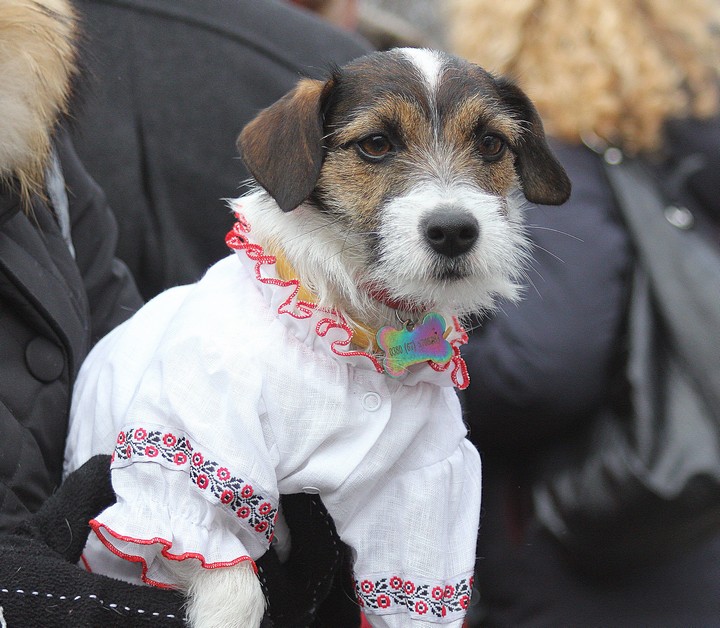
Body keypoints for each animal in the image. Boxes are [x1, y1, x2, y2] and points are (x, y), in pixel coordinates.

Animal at [64, 49, 572, 628]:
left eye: (491, 143)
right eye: (376, 143)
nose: (454, 231)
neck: (360, 336)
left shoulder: (418, 494)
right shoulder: (195, 452)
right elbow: (231, 579)